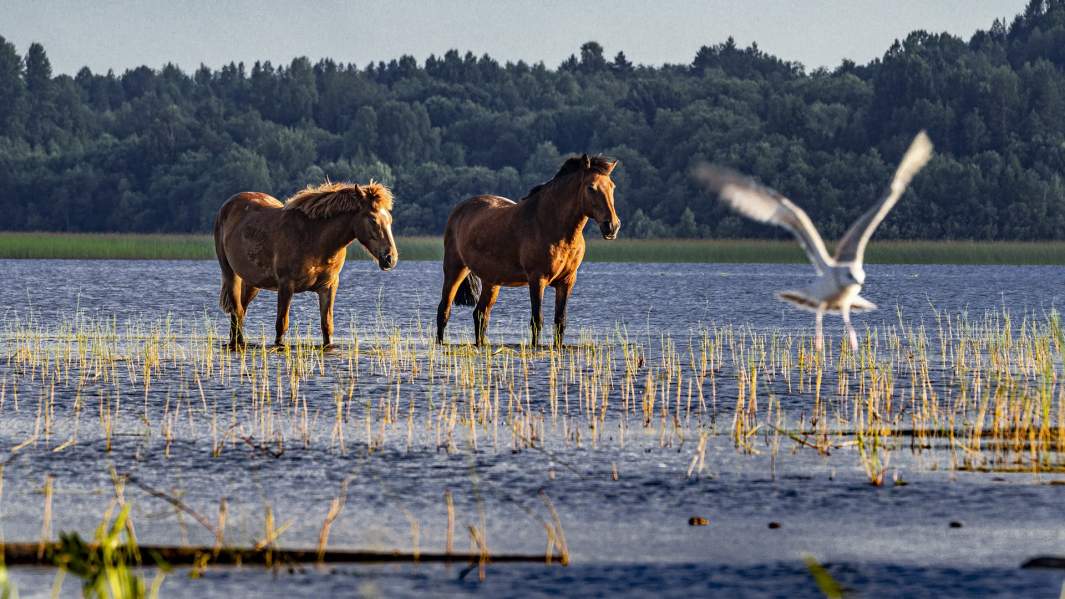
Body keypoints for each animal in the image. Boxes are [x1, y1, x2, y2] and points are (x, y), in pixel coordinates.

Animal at [214, 179, 398, 347]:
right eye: (373, 220)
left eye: (390, 219)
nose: (390, 258)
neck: (314, 238)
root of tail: (227, 206)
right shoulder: (286, 285)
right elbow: (281, 325)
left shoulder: (329, 286)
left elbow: (327, 326)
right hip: (231, 274)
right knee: (237, 311)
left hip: (253, 282)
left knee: (240, 311)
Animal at [434, 154, 621, 345]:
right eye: (591, 187)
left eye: (612, 186)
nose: (612, 226)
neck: (550, 225)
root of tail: (459, 210)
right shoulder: (537, 279)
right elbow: (537, 320)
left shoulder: (567, 281)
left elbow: (560, 322)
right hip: (455, 270)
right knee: (444, 311)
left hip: (491, 281)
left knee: (480, 314)